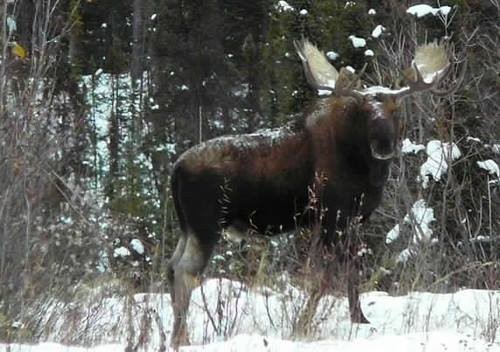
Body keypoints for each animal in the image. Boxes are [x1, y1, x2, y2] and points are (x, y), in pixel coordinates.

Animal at [167, 38, 458, 346]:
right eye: (365, 113)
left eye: (396, 109)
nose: (383, 145)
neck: (364, 168)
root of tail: (176, 169)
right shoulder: (332, 216)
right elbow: (323, 276)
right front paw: (303, 324)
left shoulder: (350, 220)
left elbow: (351, 271)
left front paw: (360, 319)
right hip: (207, 225)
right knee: (186, 271)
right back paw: (182, 338)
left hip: (187, 227)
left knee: (171, 266)